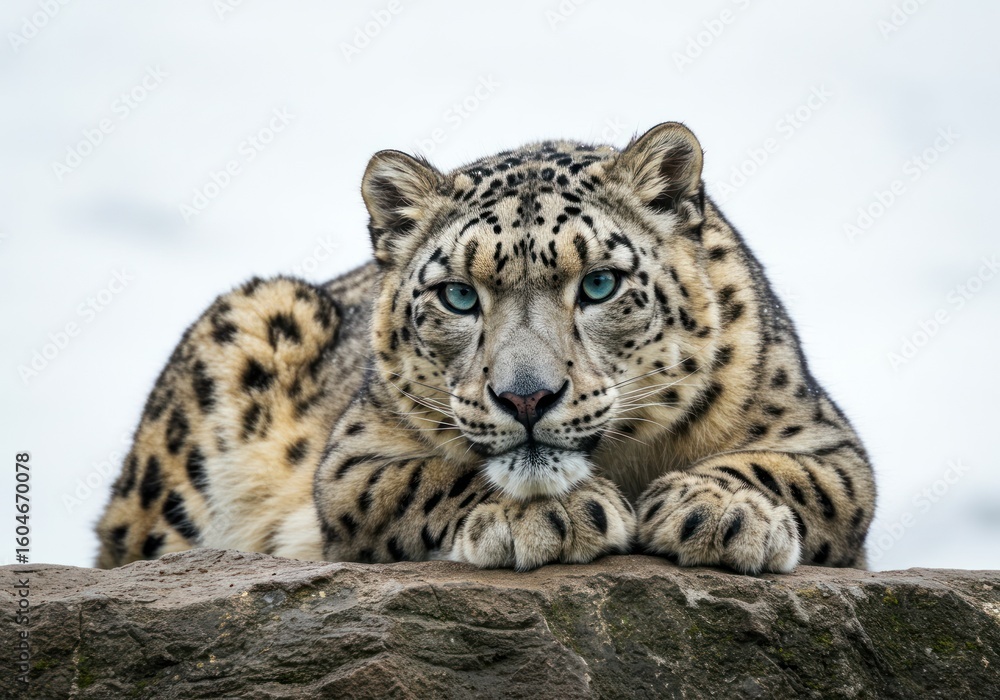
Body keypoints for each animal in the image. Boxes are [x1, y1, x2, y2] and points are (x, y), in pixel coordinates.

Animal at [95, 122, 876, 574]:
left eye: (599, 283)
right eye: (459, 296)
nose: (526, 397)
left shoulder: (826, 440)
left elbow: (793, 474)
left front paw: (720, 513)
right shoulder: (353, 459)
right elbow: (426, 477)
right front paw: (546, 514)